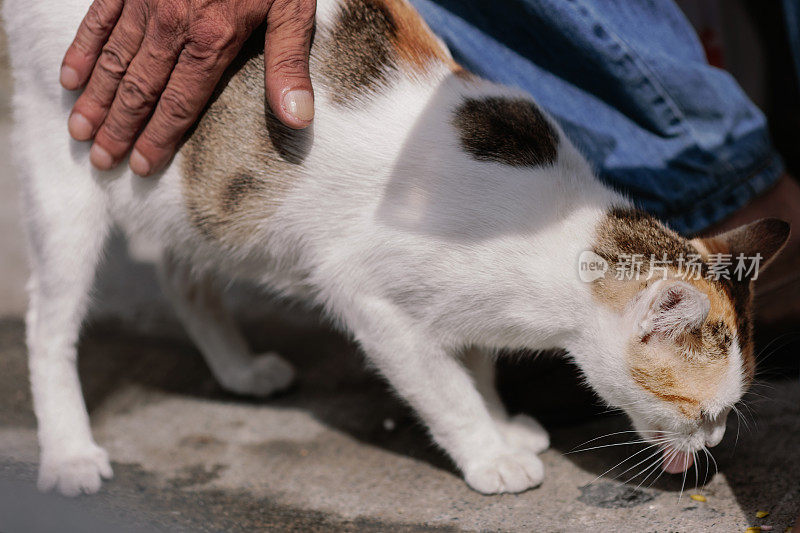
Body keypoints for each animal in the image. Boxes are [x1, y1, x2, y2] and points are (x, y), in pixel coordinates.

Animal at [3, 0, 792, 496]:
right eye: (701, 408)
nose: (714, 443)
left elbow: (475, 361)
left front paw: (502, 424)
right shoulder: (367, 297)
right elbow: (443, 386)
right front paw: (490, 453)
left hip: (191, 193)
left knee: (185, 276)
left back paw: (238, 369)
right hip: (66, 160)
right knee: (48, 325)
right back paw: (70, 453)